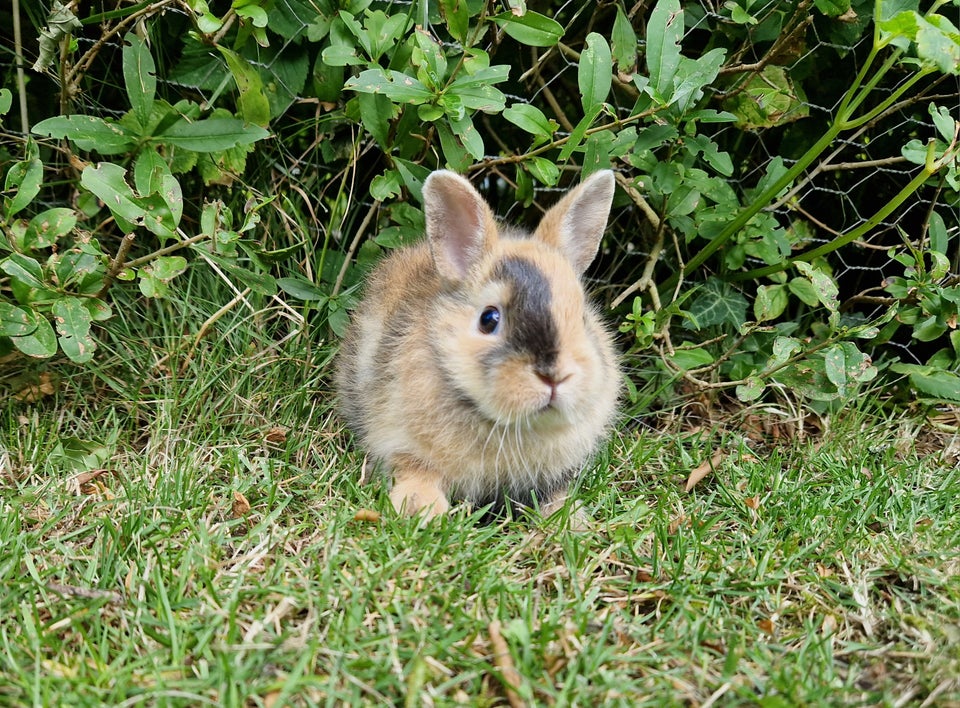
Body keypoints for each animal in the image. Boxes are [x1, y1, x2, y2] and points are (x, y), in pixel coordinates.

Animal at [338, 169, 624, 524]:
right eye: (489, 319)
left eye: (582, 316)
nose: (554, 377)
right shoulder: (401, 442)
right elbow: (416, 470)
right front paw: (422, 509)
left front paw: (572, 522)